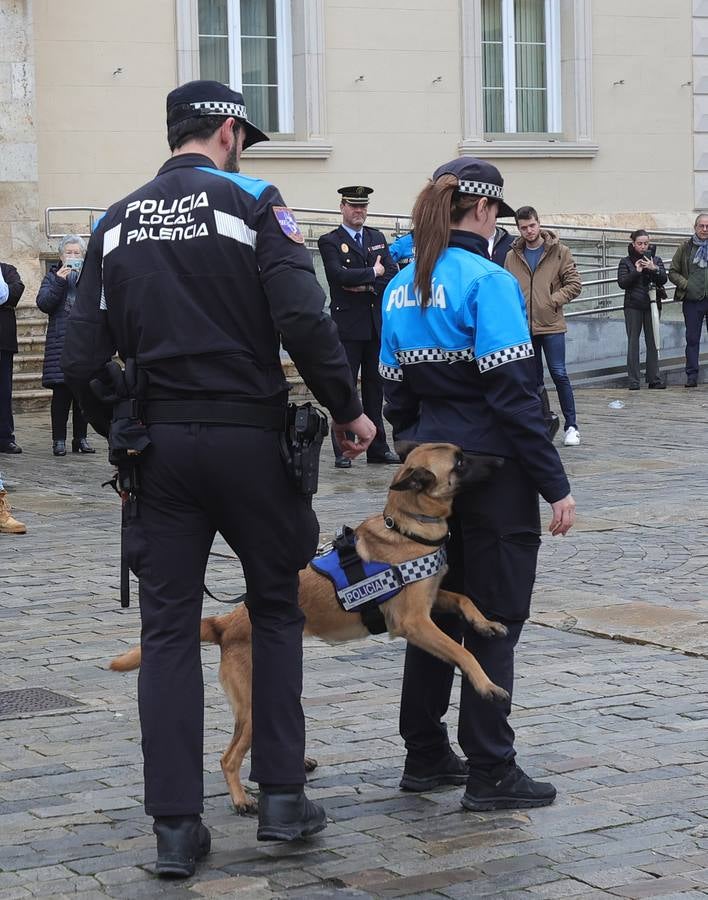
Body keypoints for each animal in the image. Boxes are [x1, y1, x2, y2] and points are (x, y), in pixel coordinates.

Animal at [109, 442, 508, 816]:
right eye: (460, 462)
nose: (502, 462)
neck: (409, 525)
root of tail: (225, 623)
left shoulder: (432, 601)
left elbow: (463, 598)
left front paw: (486, 623)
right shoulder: (414, 623)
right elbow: (461, 651)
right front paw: (487, 686)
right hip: (254, 701)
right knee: (228, 756)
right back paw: (241, 799)